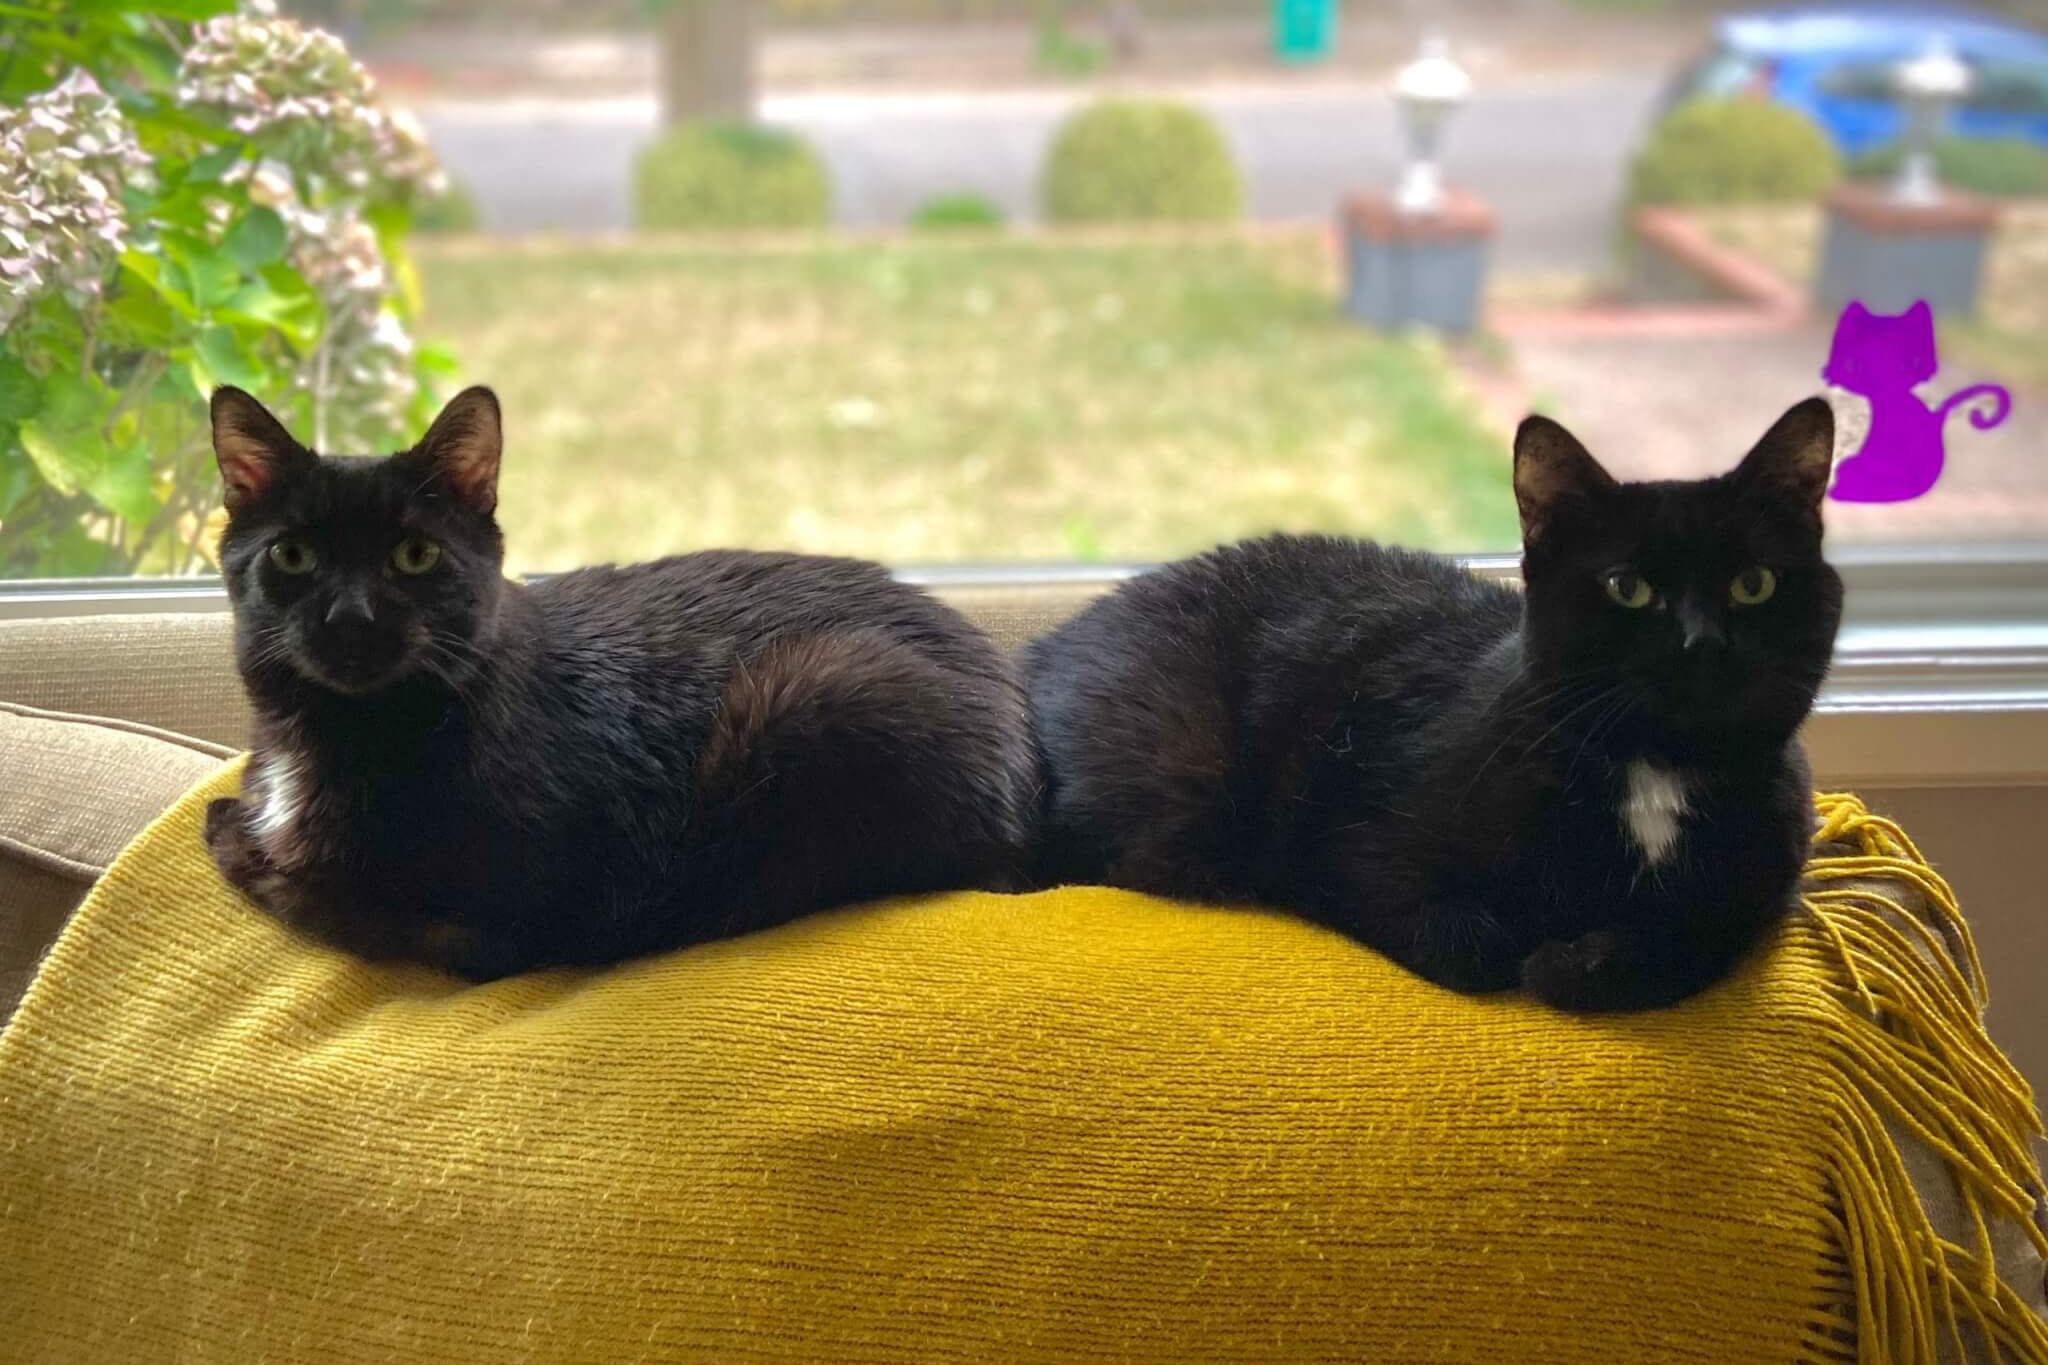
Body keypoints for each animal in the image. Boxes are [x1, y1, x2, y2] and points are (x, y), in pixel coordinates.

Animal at [203, 384, 1040, 982]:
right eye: (292, 555)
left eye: (414, 554)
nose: (350, 617)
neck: (333, 731)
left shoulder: (511, 926)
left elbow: (317, 892)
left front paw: (238, 835)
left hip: (811, 694)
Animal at [1024, 397, 1843, 1015]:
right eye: (1628, 587)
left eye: (1754, 584)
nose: (1703, 643)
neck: (1655, 769)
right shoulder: (1363, 852)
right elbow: (1477, 943)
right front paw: (1538, 947)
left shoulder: (1756, 894)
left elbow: (1691, 940)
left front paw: (1580, 960)